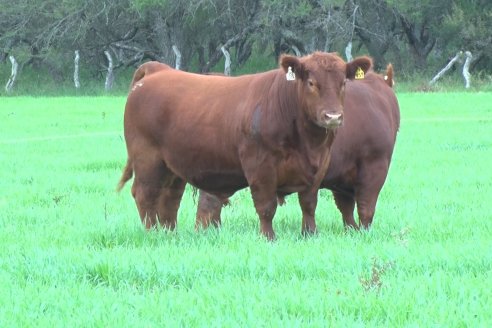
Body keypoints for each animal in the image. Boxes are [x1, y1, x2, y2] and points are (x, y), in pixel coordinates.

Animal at [119, 53, 370, 238]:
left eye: (344, 83)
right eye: (311, 83)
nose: (333, 116)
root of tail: (160, 70)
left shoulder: (319, 166)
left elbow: (308, 203)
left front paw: (310, 234)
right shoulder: (260, 166)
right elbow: (266, 206)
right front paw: (268, 237)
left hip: (173, 167)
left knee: (169, 199)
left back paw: (170, 233)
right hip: (147, 159)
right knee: (145, 194)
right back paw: (152, 233)